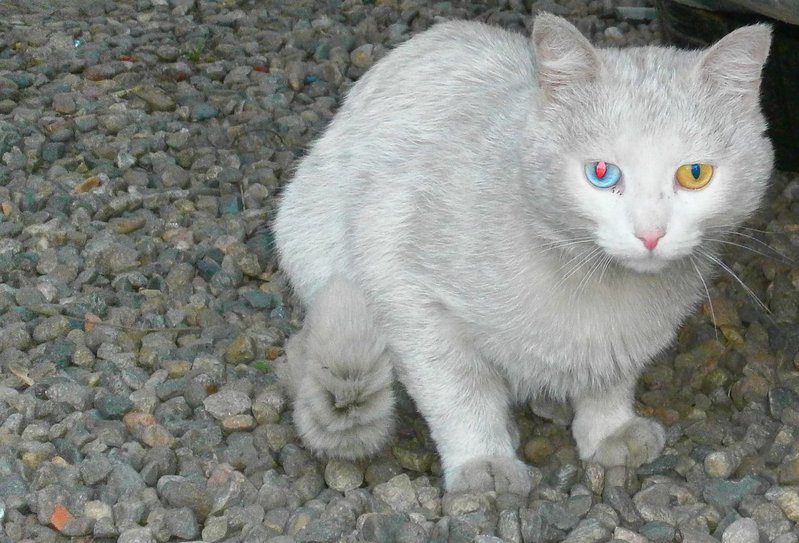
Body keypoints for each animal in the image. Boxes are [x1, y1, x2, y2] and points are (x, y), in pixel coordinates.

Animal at [272, 14, 772, 496]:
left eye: (694, 174)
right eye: (602, 173)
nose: (650, 234)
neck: (592, 287)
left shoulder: (627, 339)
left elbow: (610, 380)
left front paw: (609, 431)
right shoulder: (404, 284)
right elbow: (460, 393)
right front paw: (483, 461)